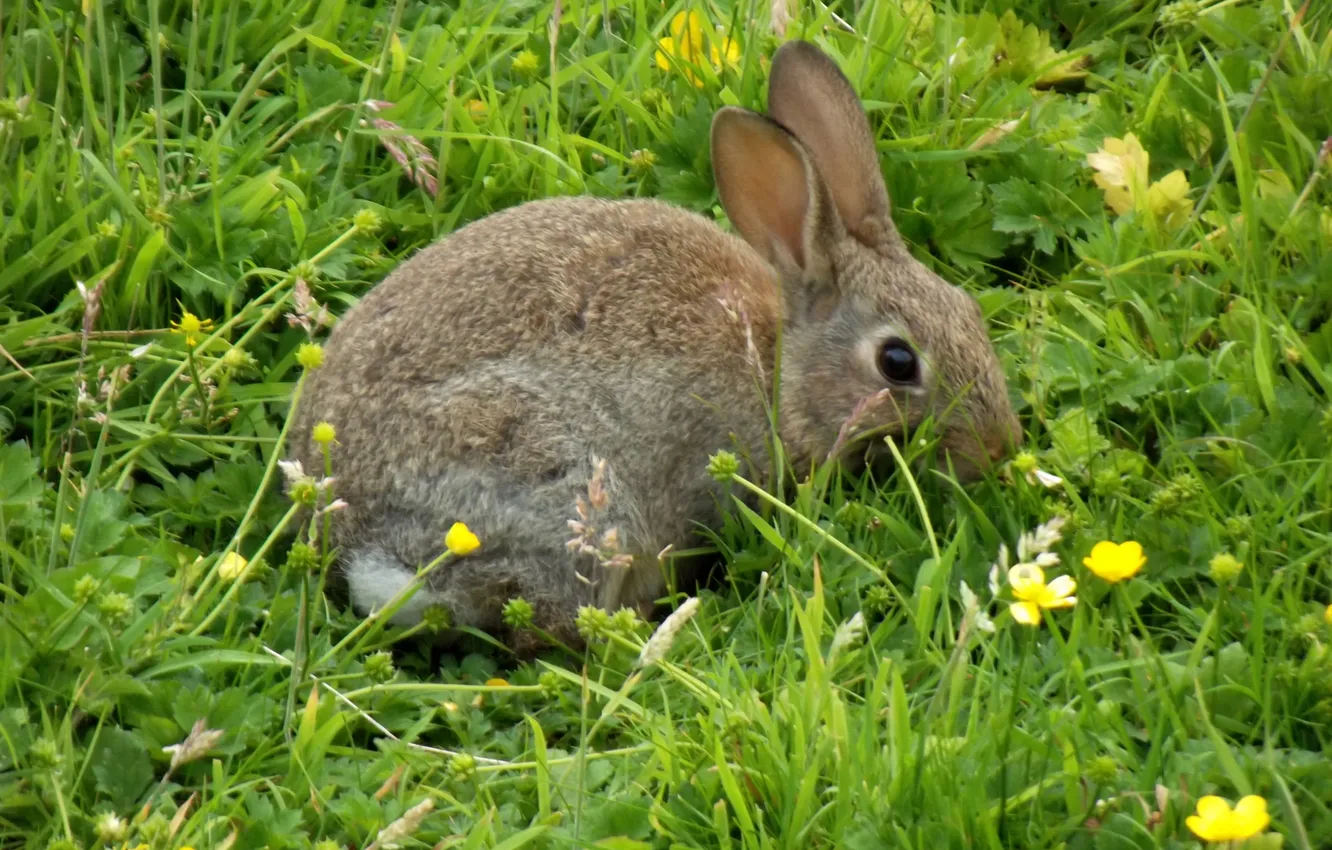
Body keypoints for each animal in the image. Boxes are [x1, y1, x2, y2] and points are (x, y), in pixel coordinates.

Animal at [288, 39, 1022, 652]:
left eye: (968, 311)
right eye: (898, 362)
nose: (1000, 448)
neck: (778, 368)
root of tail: (352, 544)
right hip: (562, 488)